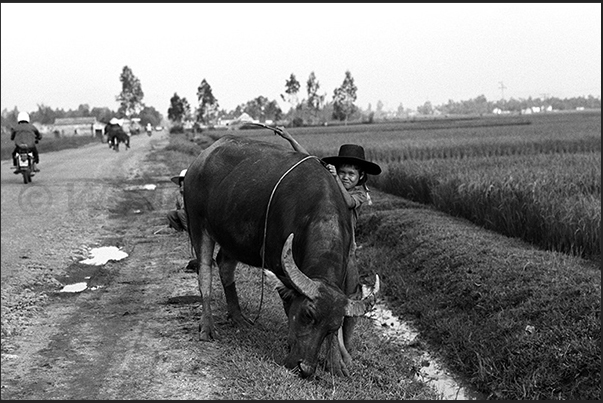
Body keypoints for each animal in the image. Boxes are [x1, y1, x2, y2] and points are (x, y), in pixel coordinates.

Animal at [183, 135, 378, 378]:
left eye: (332, 327)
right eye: (307, 315)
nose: (305, 368)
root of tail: (200, 160)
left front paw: (335, 363)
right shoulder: (277, 264)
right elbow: (287, 307)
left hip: (232, 236)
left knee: (225, 266)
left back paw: (238, 317)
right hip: (198, 224)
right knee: (205, 274)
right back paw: (207, 327)